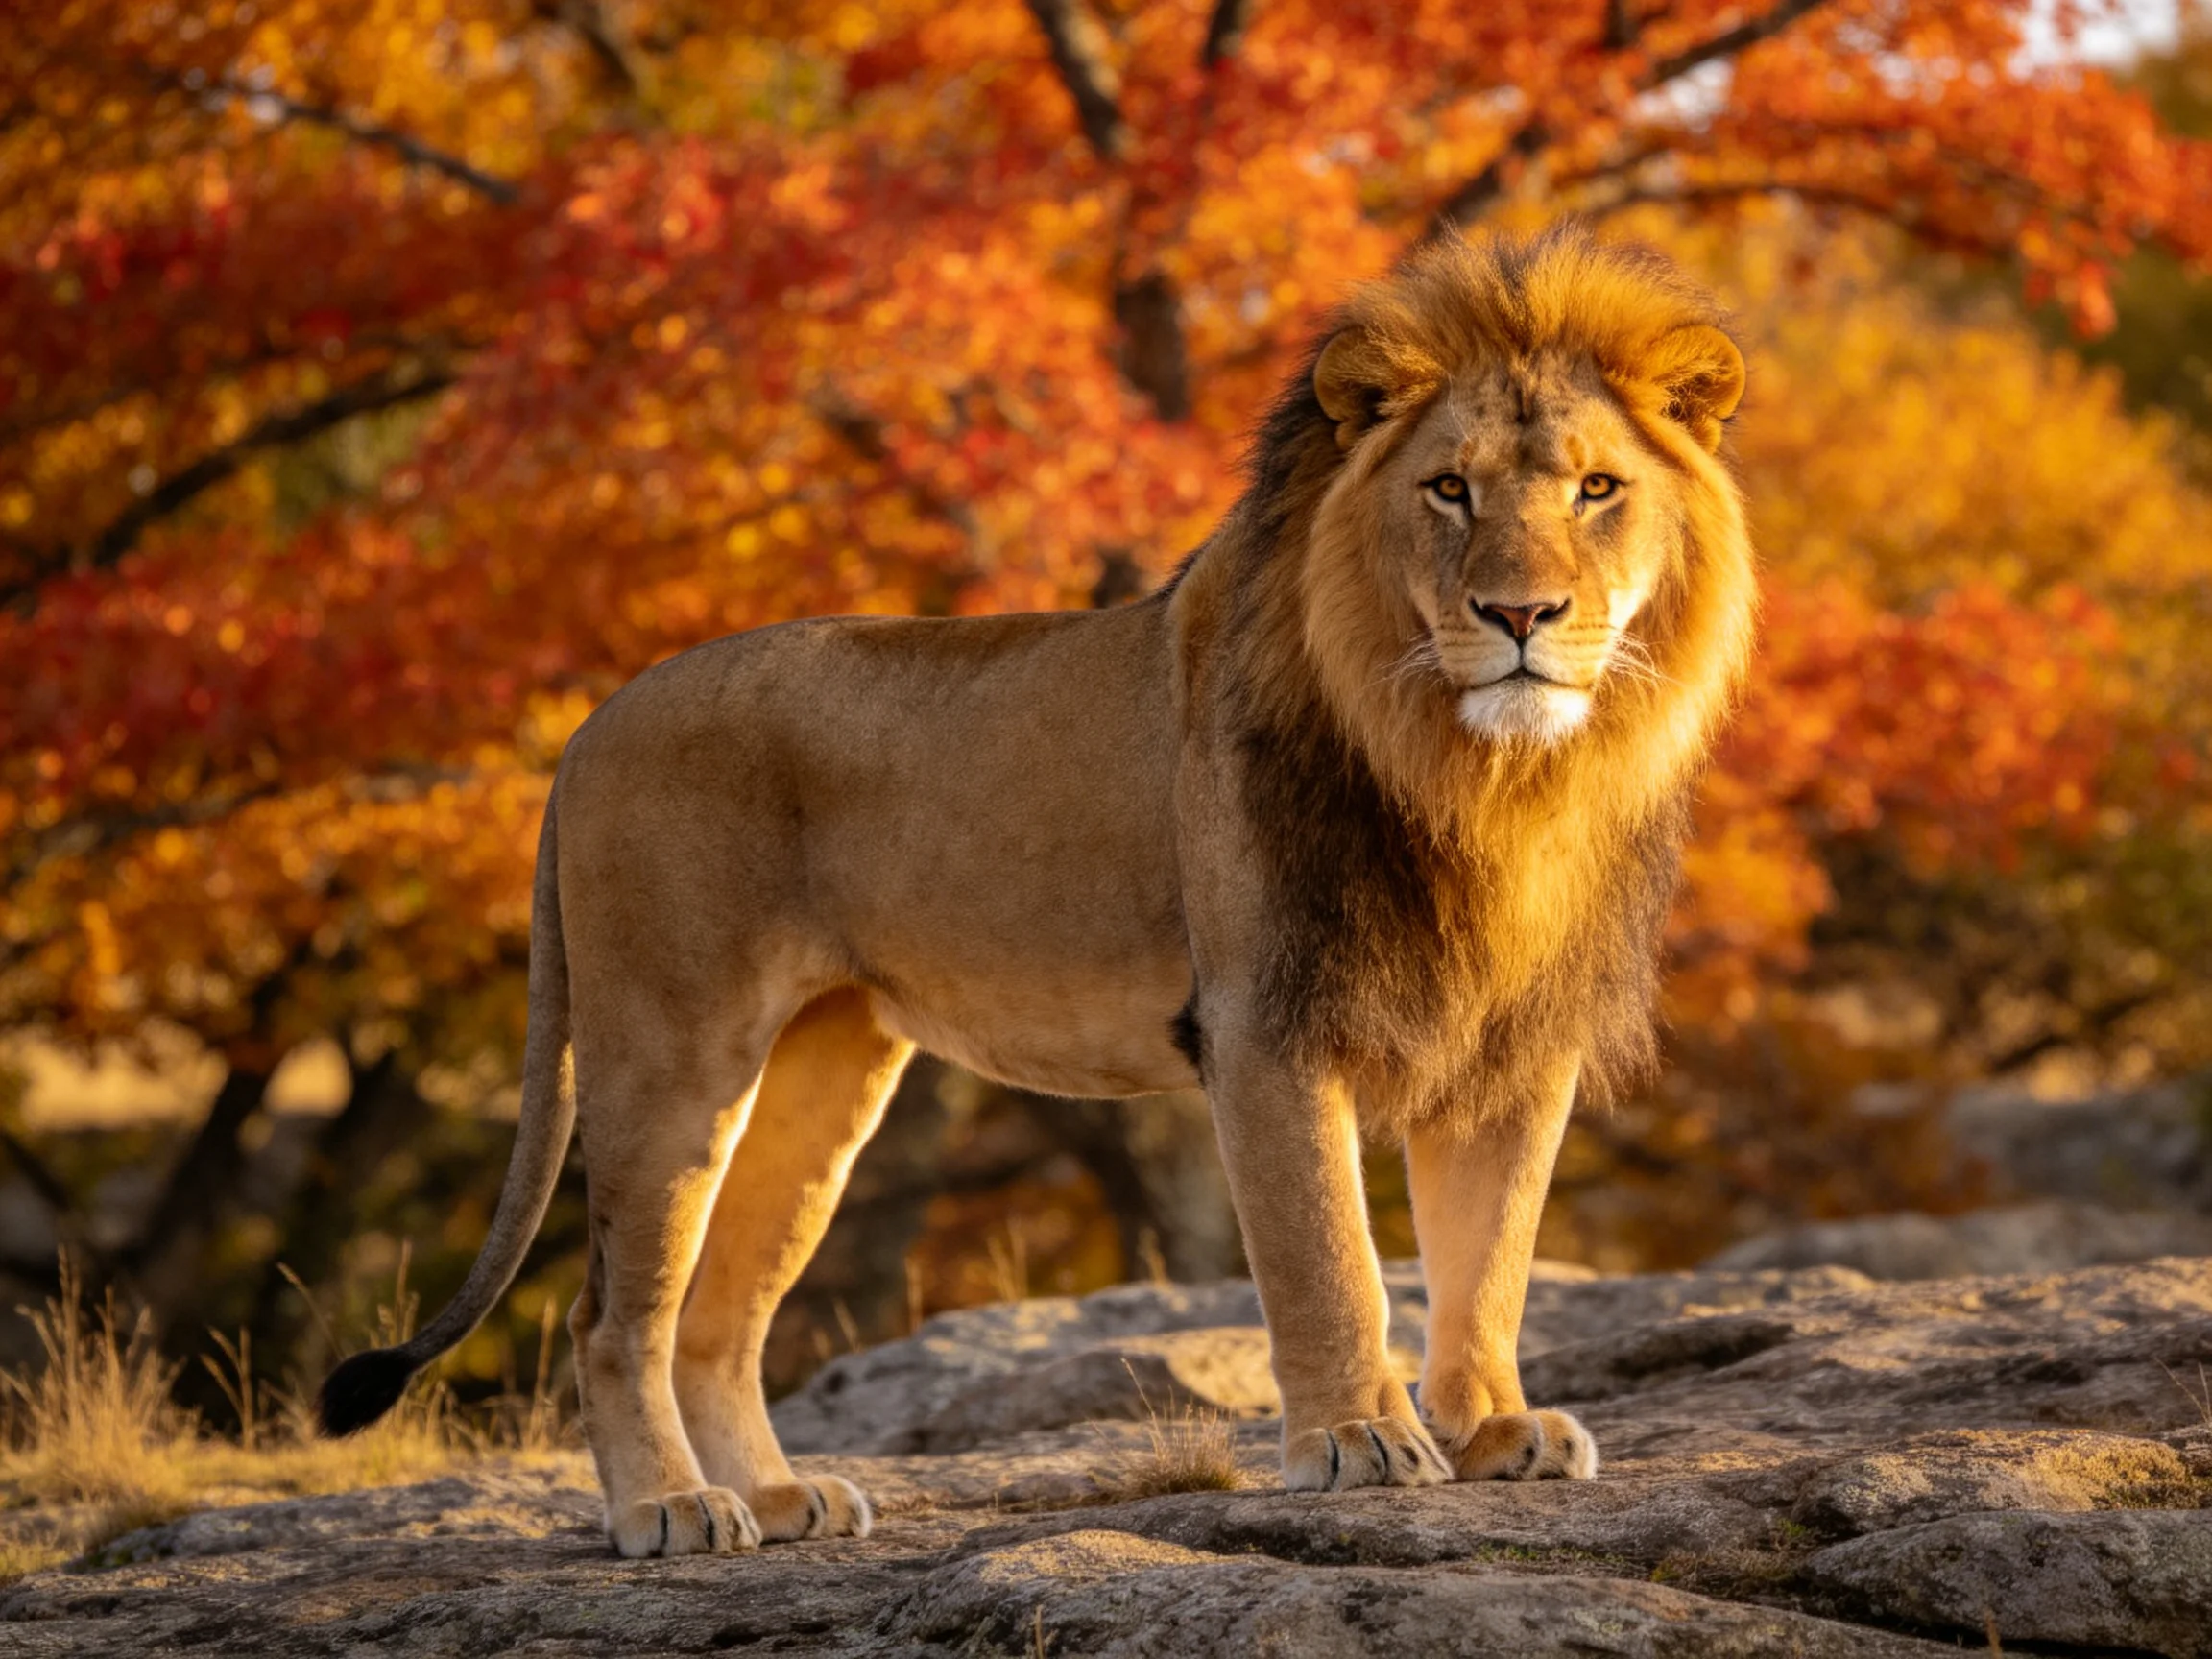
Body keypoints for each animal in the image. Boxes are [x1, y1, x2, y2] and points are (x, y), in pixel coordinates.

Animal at [319, 225, 1754, 1557]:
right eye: (1450, 490)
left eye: (1599, 489)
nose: (1522, 616)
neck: (1484, 776)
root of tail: (586, 728)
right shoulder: (1266, 1020)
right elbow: (1331, 1257)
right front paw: (1359, 1440)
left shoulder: (1518, 1038)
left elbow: (1491, 1254)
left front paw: (1496, 1429)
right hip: (666, 1051)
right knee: (612, 1313)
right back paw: (672, 1511)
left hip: (821, 1080)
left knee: (720, 1316)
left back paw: (781, 1500)